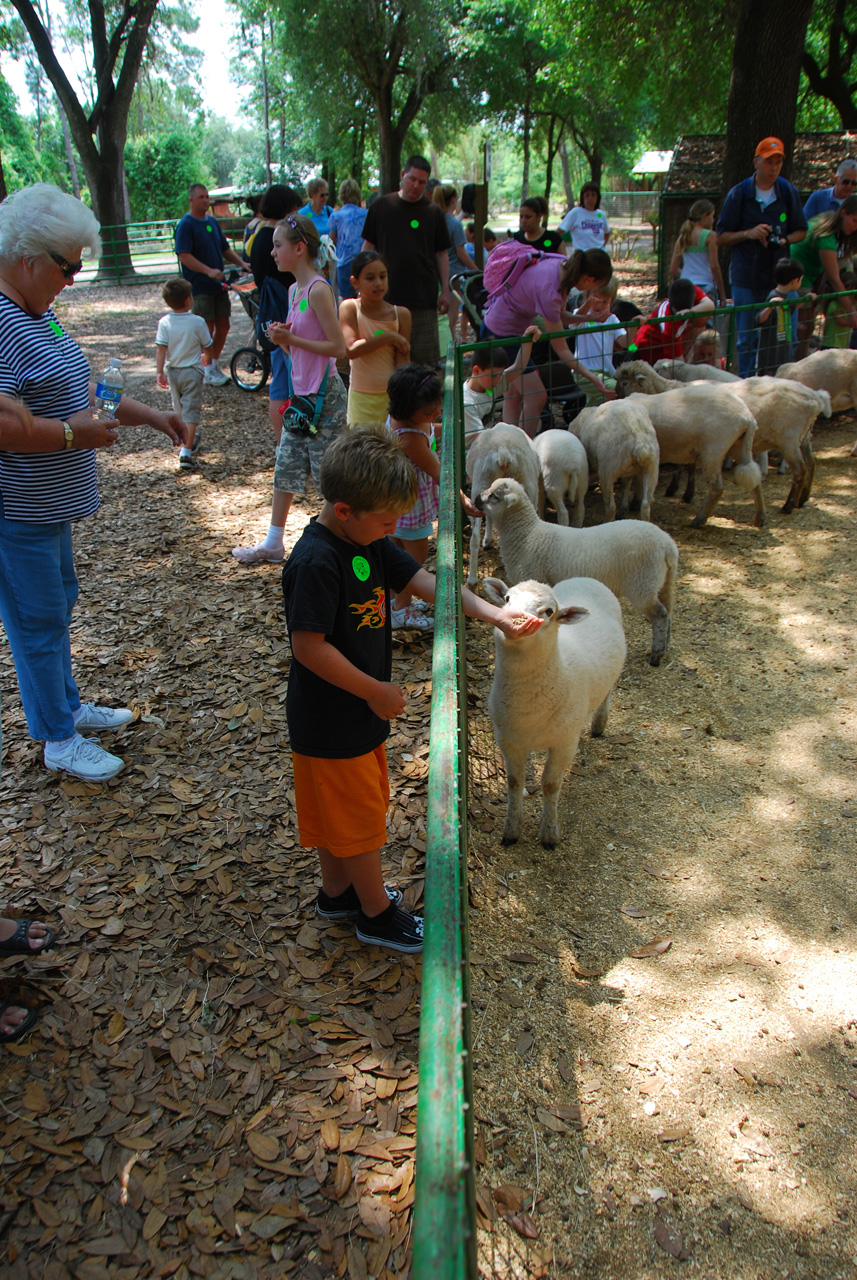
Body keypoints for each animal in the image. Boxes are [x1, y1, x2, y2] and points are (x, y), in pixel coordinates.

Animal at [465, 430, 539, 588]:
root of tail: (503, 451)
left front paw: (488, 540)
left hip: (481, 482)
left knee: (474, 537)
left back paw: (472, 579)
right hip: (528, 486)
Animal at [475, 476, 680, 665]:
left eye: (494, 496)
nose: (476, 498)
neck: (527, 535)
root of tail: (667, 545)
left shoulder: (533, 575)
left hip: (642, 584)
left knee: (660, 614)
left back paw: (656, 655)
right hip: (661, 582)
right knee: (669, 613)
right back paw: (665, 646)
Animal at [480, 581, 626, 849]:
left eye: (549, 611)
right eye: (507, 598)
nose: (516, 619)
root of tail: (587, 577)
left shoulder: (565, 742)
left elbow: (550, 785)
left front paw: (549, 833)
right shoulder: (507, 740)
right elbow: (514, 782)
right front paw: (511, 830)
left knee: (607, 691)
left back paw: (599, 725)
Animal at [619, 358, 767, 527]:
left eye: (625, 382)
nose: (617, 394)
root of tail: (747, 417)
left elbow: (629, 480)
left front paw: (627, 506)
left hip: (713, 451)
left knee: (716, 488)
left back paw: (699, 519)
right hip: (739, 445)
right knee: (754, 478)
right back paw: (760, 517)